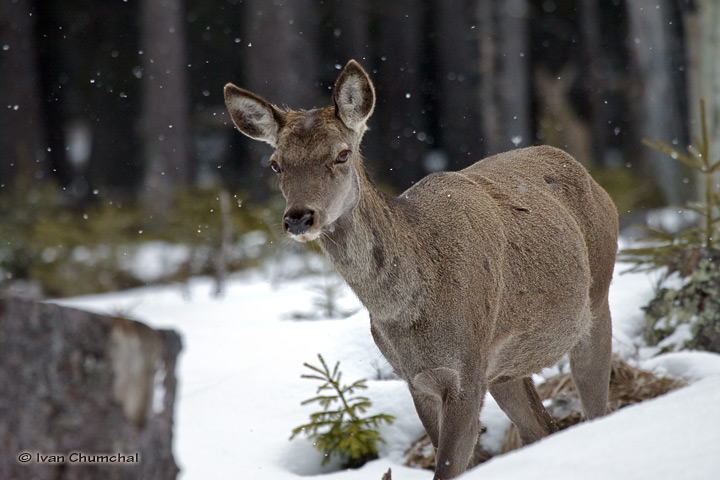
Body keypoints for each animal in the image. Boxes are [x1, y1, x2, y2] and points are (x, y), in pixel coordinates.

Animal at [225, 61, 620, 480]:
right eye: (276, 163)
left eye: (342, 154)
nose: (299, 217)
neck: (409, 308)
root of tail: (591, 177)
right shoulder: (418, 379)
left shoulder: (466, 372)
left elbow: (447, 468)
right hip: (505, 368)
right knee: (542, 428)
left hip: (597, 302)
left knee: (596, 410)